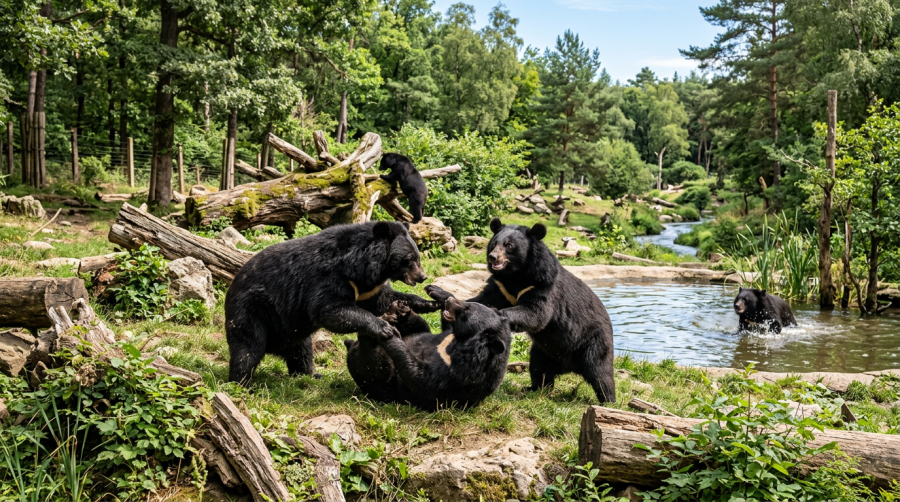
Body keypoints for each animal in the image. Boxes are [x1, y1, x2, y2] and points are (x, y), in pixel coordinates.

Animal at [224, 221, 442, 385]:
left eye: (417, 257)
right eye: (409, 259)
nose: (422, 276)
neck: (362, 268)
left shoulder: (368, 289)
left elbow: (384, 299)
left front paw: (430, 302)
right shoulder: (330, 277)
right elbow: (330, 310)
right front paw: (385, 328)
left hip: (292, 330)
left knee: (301, 351)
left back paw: (311, 374)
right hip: (252, 311)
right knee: (247, 349)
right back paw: (242, 383)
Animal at [344, 298, 511, 410]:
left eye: (467, 310)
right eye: (469, 304)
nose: (449, 300)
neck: (459, 340)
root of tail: (351, 347)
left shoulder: (459, 374)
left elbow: (421, 379)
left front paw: (392, 336)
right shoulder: (442, 337)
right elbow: (418, 329)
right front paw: (401, 308)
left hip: (379, 380)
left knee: (373, 363)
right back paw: (388, 316)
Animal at [425, 218, 617, 404]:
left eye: (509, 246)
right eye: (494, 243)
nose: (493, 257)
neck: (516, 275)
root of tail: (569, 367)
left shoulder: (541, 285)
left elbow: (536, 313)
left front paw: (497, 314)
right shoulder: (501, 288)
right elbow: (481, 299)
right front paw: (436, 291)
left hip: (593, 342)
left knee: (600, 373)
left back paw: (608, 401)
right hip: (545, 351)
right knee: (539, 369)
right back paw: (535, 389)